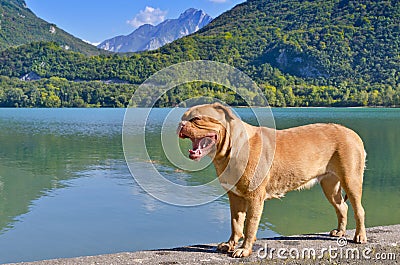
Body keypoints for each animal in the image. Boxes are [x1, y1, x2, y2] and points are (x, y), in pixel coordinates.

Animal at [178, 102, 368, 256]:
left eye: (196, 119)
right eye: (183, 118)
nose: (180, 124)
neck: (232, 148)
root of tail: (353, 134)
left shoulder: (254, 197)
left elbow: (250, 225)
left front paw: (244, 249)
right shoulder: (235, 196)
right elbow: (236, 223)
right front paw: (230, 244)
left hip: (351, 179)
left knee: (358, 209)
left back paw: (360, 236)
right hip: (329, 184)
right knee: (341, 207)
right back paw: (340, 232)